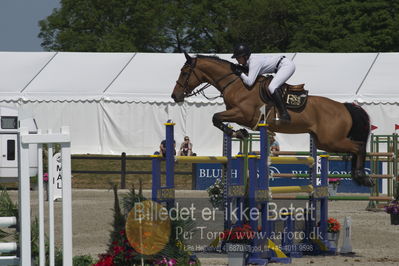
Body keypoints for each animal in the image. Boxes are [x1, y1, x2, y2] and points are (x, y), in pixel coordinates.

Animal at [172, 51, 376, 186]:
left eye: (184, 72)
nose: (175, 96)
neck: (236, 83)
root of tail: (344, 106)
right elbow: (218, 119)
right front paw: (240, 133)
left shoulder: (243, 113)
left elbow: (216, 117)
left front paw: (238, 133)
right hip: (324, 141)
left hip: (331, 140)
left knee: (358, 147)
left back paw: (361, 176)